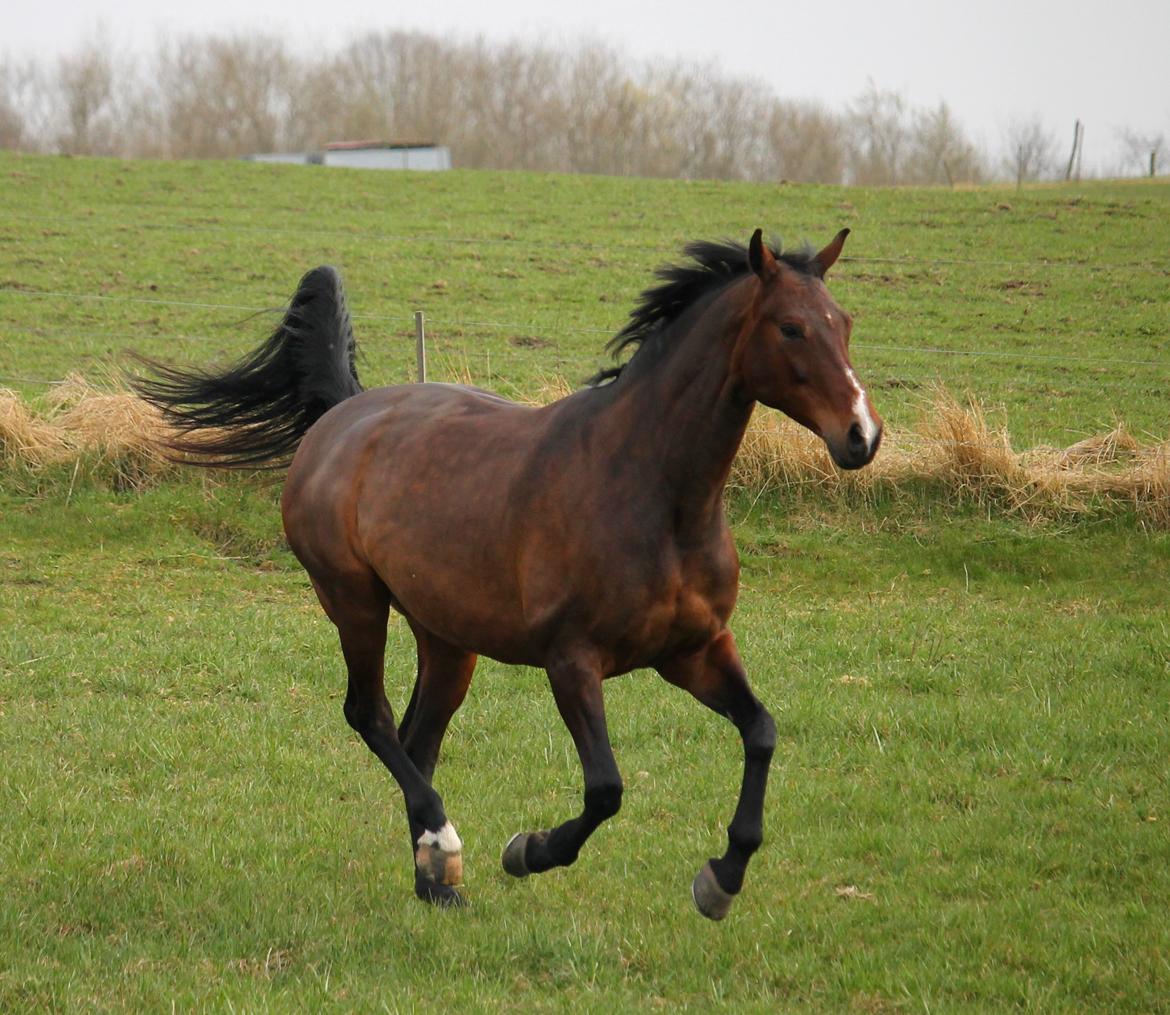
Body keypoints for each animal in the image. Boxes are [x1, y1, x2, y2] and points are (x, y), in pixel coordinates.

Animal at [134, 228, 879, 921]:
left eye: (845, 322)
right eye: (790, 327)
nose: (862, 436)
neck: (652, 492)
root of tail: (345, 414)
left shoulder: (694, 651)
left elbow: (762, 731)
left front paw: (720, 881)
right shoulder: (571, 659)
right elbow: (606, 788)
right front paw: (530, 850)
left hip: (446, 637)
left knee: (417, 738)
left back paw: (434, 879)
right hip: (353, 600)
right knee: (370, 715)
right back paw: (444, 843)